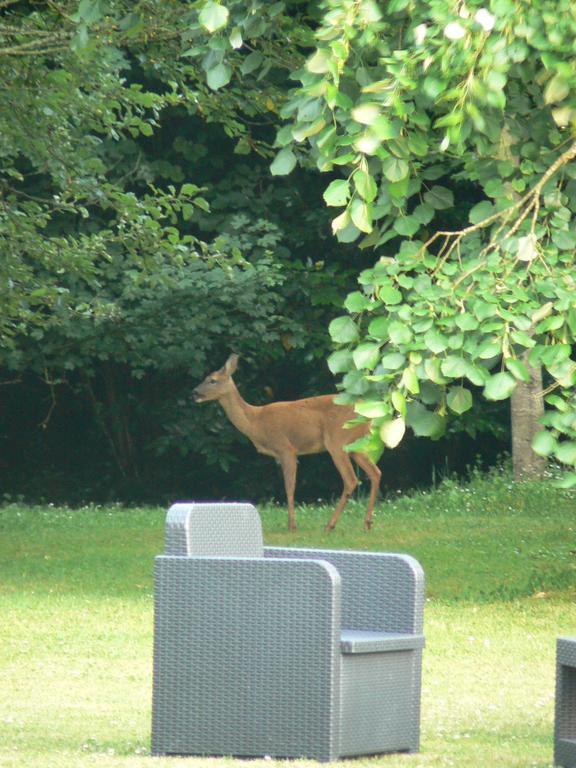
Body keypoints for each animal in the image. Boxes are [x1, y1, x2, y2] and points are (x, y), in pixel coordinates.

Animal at [194, 356, 382, 532]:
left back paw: (330, 525)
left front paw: (292, 525)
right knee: (375, 472)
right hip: (355, 445)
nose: (194, 392)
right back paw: (367, 523)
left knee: (351, 479)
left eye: (212, 380)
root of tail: (367, 416)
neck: (255, 422)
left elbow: (289, 487)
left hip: (337, 440)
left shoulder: (286, 448)